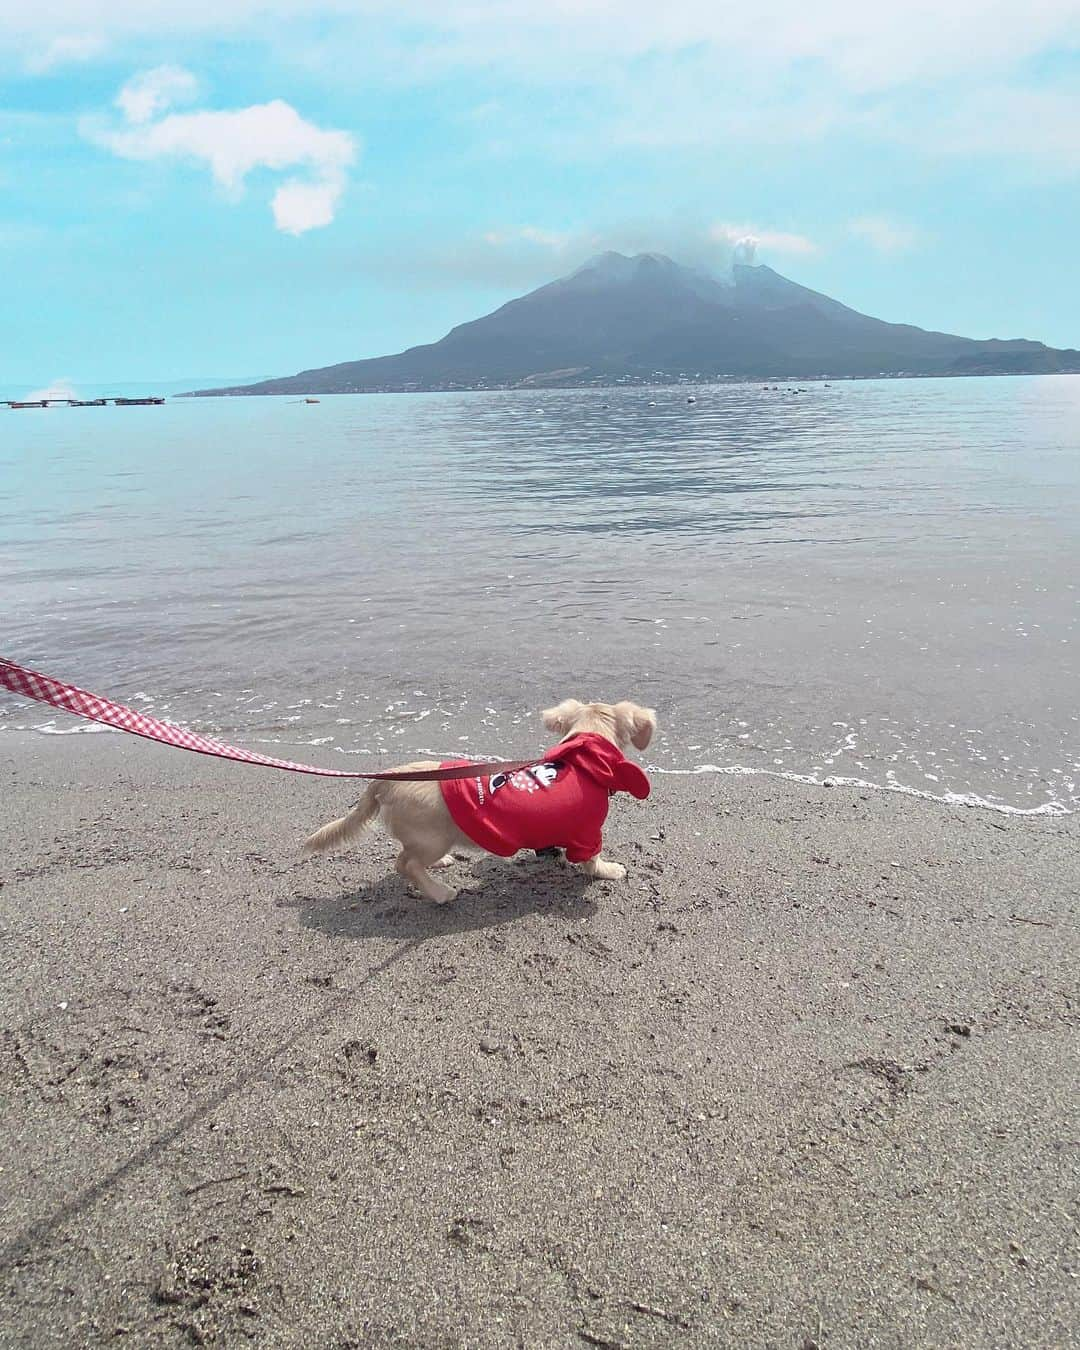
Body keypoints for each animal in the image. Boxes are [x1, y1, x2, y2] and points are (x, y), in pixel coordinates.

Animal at [303, 696, 658, 907]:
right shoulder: (587, 833)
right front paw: (608, 870)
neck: (583, 758)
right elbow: (592, 858)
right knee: (405, 864)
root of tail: (386, 780)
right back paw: (440, 892)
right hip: (435, 838)